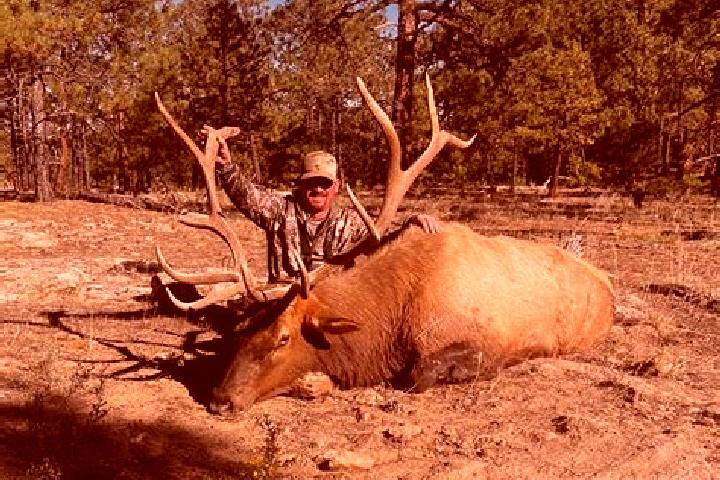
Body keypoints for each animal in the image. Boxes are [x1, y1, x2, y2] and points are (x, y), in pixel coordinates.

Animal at [153, 75, 615, 414]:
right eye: (238, 333)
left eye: (283, 338)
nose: (220, 401)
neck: (393, 324)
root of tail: (607, 283)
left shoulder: (485, 344)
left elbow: (415, 377)